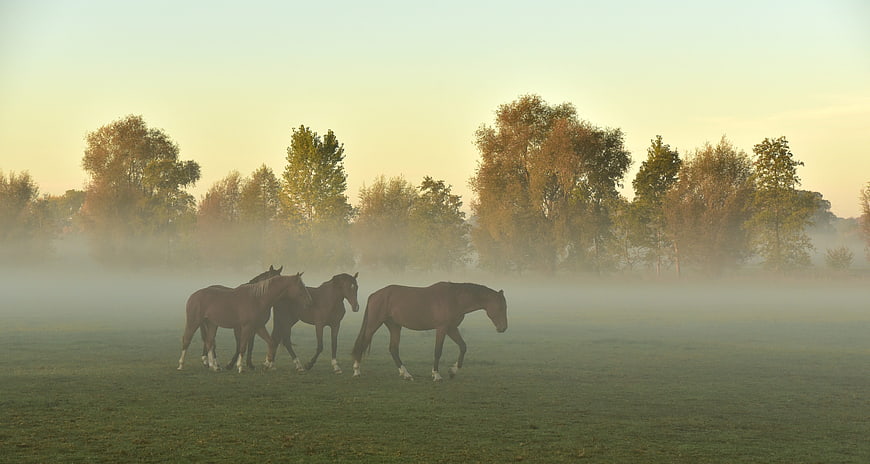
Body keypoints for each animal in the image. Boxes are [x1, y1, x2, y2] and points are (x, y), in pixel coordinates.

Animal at [177, 273, 311, 373]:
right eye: (300, 287)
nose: (309, 301)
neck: (258, 299)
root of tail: (193, 296)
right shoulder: (246, 327)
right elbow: (242, 347)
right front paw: (240, 367)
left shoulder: (259, 327)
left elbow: (271, 343)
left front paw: (267, 364)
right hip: (193, 322)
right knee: (186, 340)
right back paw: (181, 365)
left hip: (211, 324)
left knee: (209, 342)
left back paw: (215, 366)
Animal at [229, 272, 361, 374]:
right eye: (348, 287)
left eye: (357, 287)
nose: (356, 307)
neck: (330, 300)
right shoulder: (319, 325)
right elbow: (320, 346)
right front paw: (309, 364)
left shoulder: (335, 325)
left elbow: (334, 345)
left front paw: (336, 367)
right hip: (284, 321)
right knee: (284, 340)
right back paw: (294, 365)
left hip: (290, 321)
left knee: (277, 339)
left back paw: (270, 364)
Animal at [350, 282, 507, 381]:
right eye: (501, 307)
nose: (503, 328)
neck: (455, 298)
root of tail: (375, 295)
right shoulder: (442, 328)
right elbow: (438, 351)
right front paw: (436, 375)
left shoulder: (451, 328)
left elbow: (463, 346)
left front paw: (452, 371)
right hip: (374, 324)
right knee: (363, 343)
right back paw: (356, 371)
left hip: (395, 326)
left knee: (393, 349)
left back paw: (406, 374)